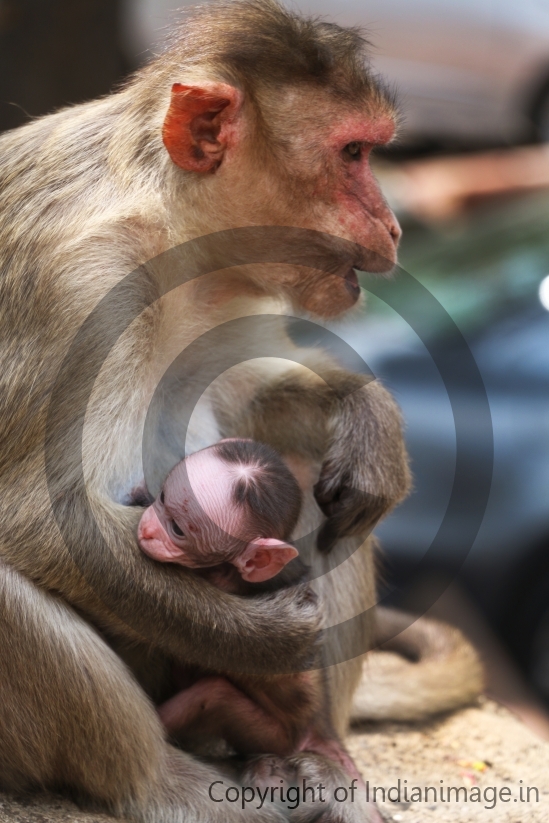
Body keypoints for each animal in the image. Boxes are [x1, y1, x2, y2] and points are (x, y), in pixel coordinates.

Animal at [137, 438, 360, 780]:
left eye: (178, 529)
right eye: (162, 498)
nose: (147, 529)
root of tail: (310, 730)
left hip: (271, 736)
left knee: (212, 695)